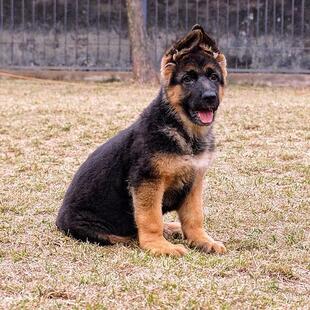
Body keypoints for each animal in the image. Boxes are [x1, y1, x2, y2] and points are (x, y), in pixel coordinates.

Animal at [56, 24, 228, 256]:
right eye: (188, 79)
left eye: (213, 77)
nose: (210, 97)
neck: (184, 132)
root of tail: (59, 221)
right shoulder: (147, 181)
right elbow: (150, 217)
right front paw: (157, 245)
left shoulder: (194, 181)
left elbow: (194, 216)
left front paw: (201, 240)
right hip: (93, 227)